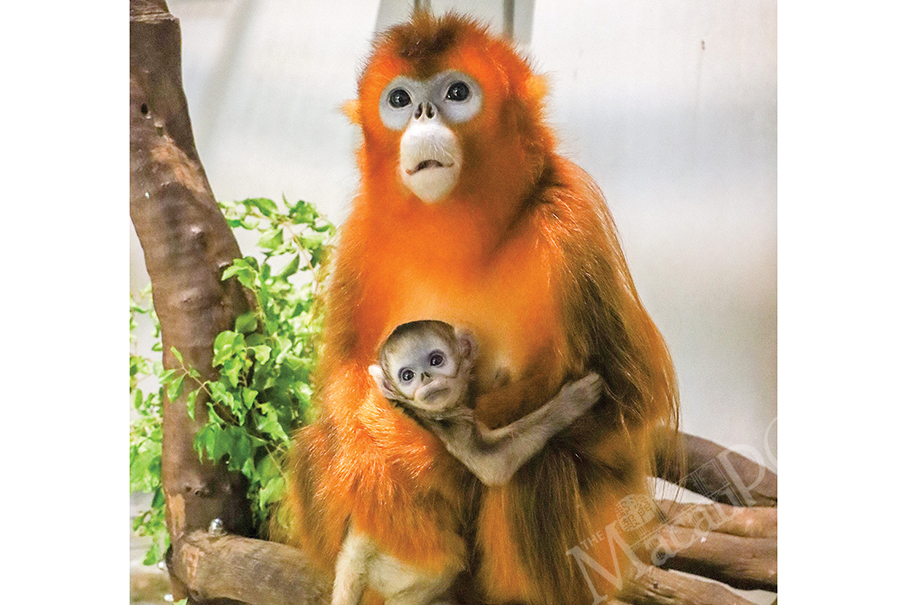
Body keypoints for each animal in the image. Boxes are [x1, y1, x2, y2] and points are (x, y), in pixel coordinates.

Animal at [328, 318, 604, 600]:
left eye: (436, 360)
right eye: (407, 376)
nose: (425, 377)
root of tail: (356, 548)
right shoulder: (448, 423)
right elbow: (492, 464)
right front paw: (574, 400)